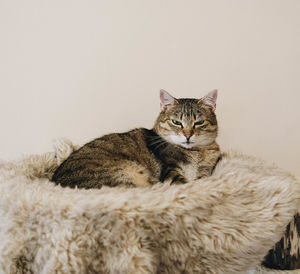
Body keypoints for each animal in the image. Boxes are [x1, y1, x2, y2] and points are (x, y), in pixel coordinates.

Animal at [51, 90, 220, 188]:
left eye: (199, 122)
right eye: (176, 122)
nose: (187, 135)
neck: (196, 153)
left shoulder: (205, 173)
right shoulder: (170, 171)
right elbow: (185, 185)